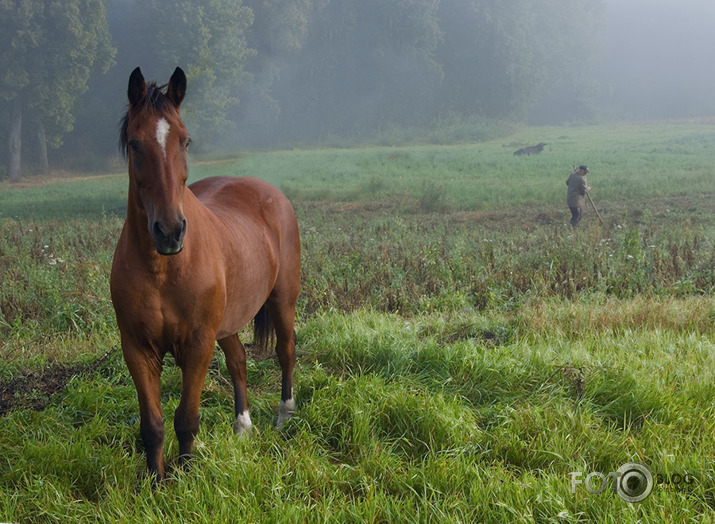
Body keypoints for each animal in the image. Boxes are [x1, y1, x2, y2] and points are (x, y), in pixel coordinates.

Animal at [110, 67, 300, 482]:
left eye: (185, 140)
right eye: (134, 143)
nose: (169, 231)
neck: (164, 269)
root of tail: (269, 193)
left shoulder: (198, 344)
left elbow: (186, 418)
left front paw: (184, 475)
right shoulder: (138, 348)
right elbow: (152, 424)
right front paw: (155, 482)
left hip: (283, 300)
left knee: (286, 351)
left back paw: (285, 416)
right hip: (226, 322)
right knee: (238, 361)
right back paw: (243, 426)